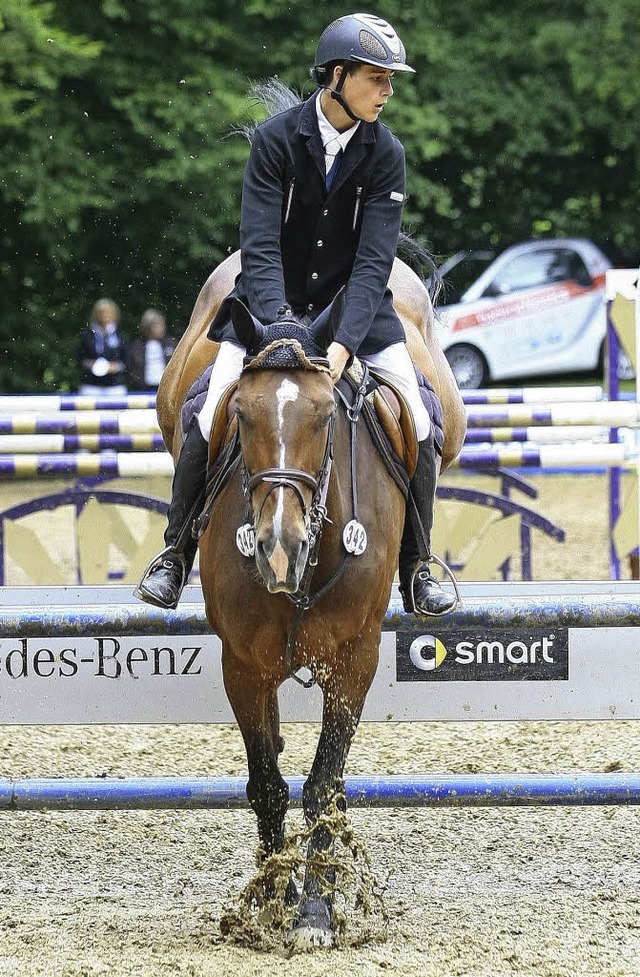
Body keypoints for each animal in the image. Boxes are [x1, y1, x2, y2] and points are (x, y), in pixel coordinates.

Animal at [155, 252, 464, 944]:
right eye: (241, 414)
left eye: (325, 416)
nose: (278, 546)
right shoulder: (243, 664)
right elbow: (268, 782)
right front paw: (274, 900)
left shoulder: (355, 660)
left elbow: (323, 783)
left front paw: (317, 911)